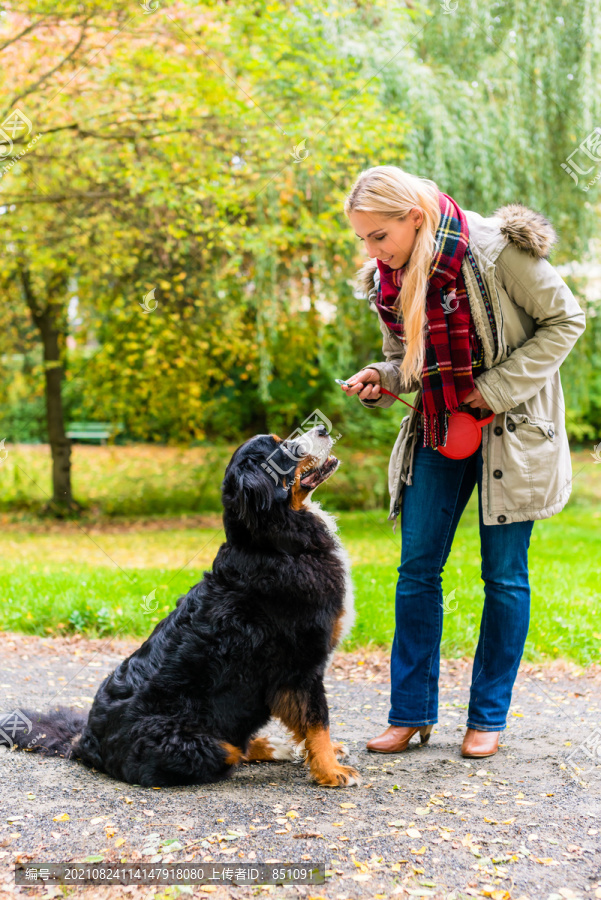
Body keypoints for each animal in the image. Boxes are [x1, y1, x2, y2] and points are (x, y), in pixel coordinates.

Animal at [4, 426, 358, 784]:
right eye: (283, 449)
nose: (322, 428)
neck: (275, 545)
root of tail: (84, 743)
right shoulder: (302, 664)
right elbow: (317, 721)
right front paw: (331, 770)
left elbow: (311, 722)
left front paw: (324, 759)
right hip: (205, 745)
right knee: (235, 751)